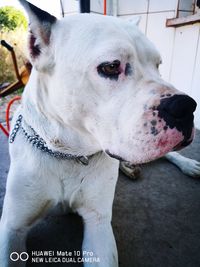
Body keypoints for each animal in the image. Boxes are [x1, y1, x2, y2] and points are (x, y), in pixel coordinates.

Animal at [0, 1, 197, 266]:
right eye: (111, 66)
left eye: (158, 65)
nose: (186, 107)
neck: (68, 154)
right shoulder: (12, 228)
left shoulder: (99, 223)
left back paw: (187, 164)